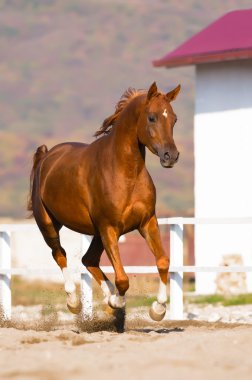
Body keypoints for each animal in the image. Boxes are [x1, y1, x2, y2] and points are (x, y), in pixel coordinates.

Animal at [28, 82, 179, 320]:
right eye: (152, 117)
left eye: (174, 119)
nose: (170, 156)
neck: (125, 173)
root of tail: (46, 156)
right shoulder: (109, 228)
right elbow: (123, 279)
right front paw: (118, 301)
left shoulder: (147, 222)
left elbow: (163, 262)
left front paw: (158, 308)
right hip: (49, 225)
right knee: (60, 254)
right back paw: (74, 302)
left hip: (96, 233)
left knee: (88, 260)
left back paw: (107, 296)